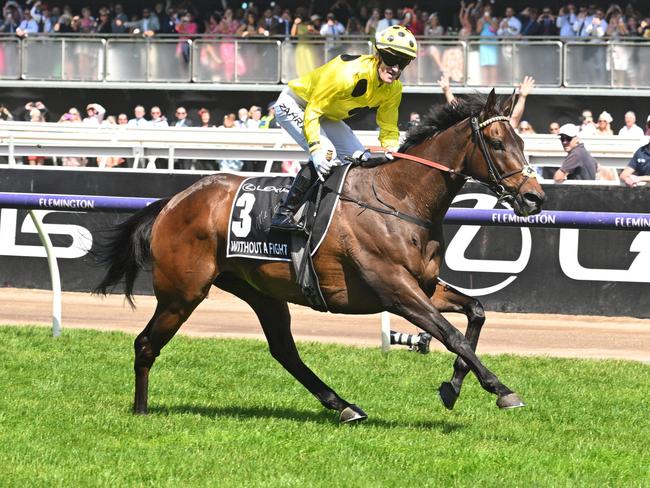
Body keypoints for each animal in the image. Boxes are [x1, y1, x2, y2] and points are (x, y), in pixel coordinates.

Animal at [95, 91, 540, 424]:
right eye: (497, 144)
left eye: (521, 142)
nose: (534, 197)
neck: (398, 199)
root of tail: (173, 201)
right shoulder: (396, 290)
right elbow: (451, 335)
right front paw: (501, 389)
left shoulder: (424, 286)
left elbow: (476, 312)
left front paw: (453, 386)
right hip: (183, 291)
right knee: (145, 344)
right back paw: (140, 410)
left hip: (259, 291)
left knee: (284, 350)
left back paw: (343, 406)